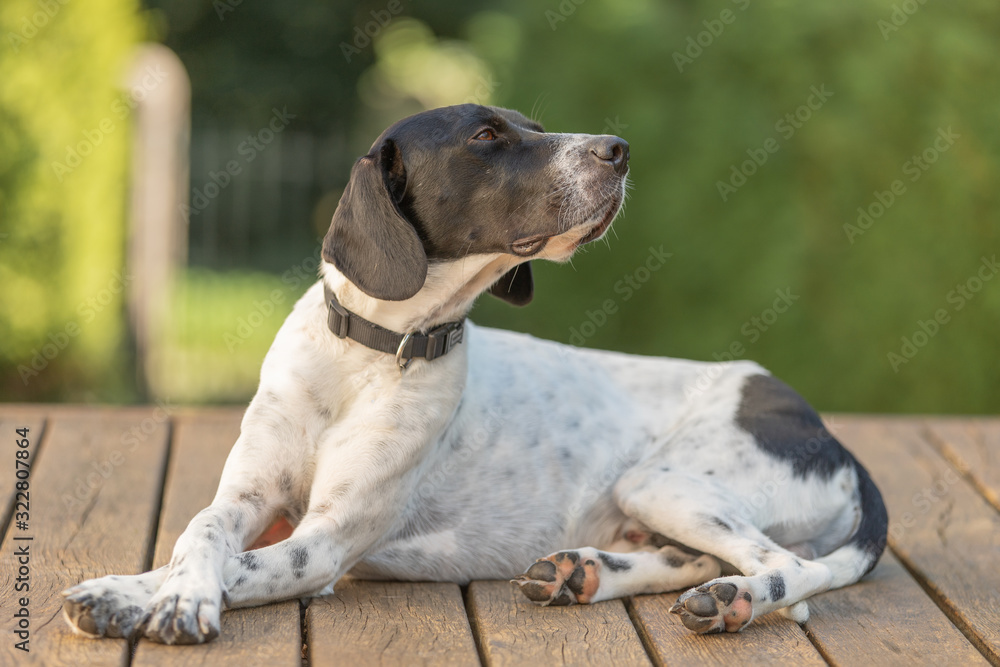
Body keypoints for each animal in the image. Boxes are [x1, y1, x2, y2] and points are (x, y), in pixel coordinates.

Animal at [64, 104, 884, 640]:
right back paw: (586, 573)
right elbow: (198, 535)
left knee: (791, 573)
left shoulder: (324, 543)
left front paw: (162, 600)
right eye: (487, 136)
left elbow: (240, 566)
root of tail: (828, 432)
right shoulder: (250, 497)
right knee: (692, 559)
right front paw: (135, 591)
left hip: (664, 480)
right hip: (653, 498)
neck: (367, 354)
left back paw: (737, 599)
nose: (619, 148)